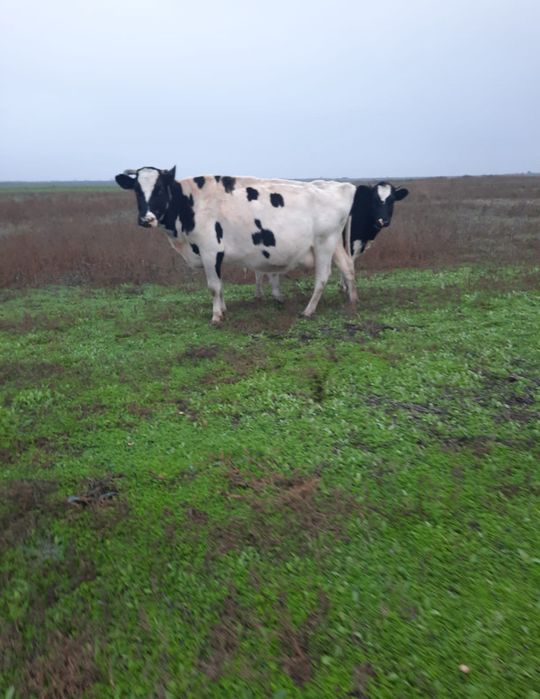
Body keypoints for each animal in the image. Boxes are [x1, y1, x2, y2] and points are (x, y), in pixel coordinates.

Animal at [115, 168, 358, 323]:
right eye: (137, 190)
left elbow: (214, 286)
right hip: (335, 244)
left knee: (322, 277)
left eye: (159, 190)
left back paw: (308, 310)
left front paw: (216, 316)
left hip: (324, 243)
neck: (192, 204)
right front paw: (223, 309)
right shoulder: (215, 255)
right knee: (348, 267)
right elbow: (220, 286)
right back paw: (353, 300)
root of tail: (339, 186)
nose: (146, 219)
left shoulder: (210, 251)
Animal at [254, 180, 409, 299]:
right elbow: (349, 262)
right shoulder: (350, 241)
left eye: (392, 200)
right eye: (375, 199)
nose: (383, 221)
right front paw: (344, 287)